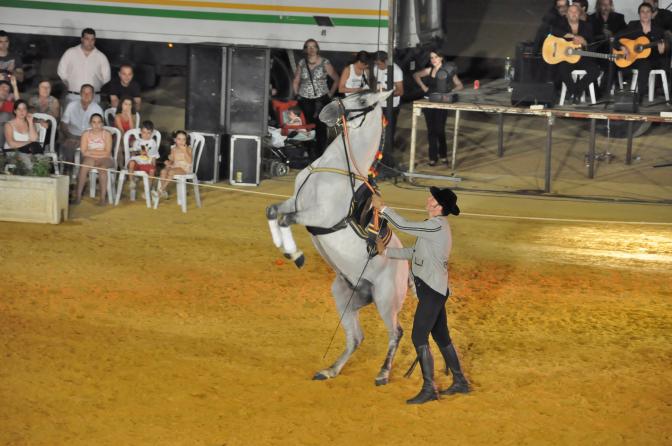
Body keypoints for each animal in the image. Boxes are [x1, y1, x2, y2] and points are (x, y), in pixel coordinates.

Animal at [265, 90, 409, 386]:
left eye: (364, 98)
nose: (326, 111)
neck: (335, 169)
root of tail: (407, 269)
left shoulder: (319, 215)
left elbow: (285, 219)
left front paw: (296, 256)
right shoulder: (294, 203)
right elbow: (273, 211)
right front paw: (285, 250)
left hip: (386, 300)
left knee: (396, 332)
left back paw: (383, 374)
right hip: (346, 295)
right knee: (356, 338)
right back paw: (329, 370)